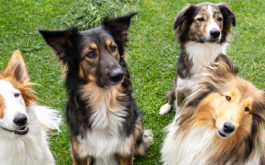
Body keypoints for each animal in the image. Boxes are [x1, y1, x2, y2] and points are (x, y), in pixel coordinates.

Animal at [39, 11, 153, 165]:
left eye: (113, 48)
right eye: (91, 54)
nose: (119, 75)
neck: (104, 103)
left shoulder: (125, 152)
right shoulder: (80, 154)